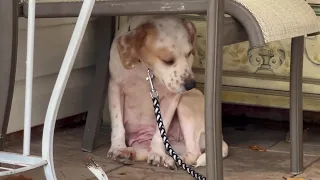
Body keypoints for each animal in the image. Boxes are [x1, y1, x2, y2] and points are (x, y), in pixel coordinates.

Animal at [107, 15, 228, 169]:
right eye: (167, 60)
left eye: (188, 54)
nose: (191, 85)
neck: (145, 70)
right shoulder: (115, 87)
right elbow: (118, 124)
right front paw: (118, 148)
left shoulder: (173, 97)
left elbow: (161, 128)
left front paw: (158, 154)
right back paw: (130, 153)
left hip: (185, 106)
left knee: (194, 152)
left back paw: (174, 159)